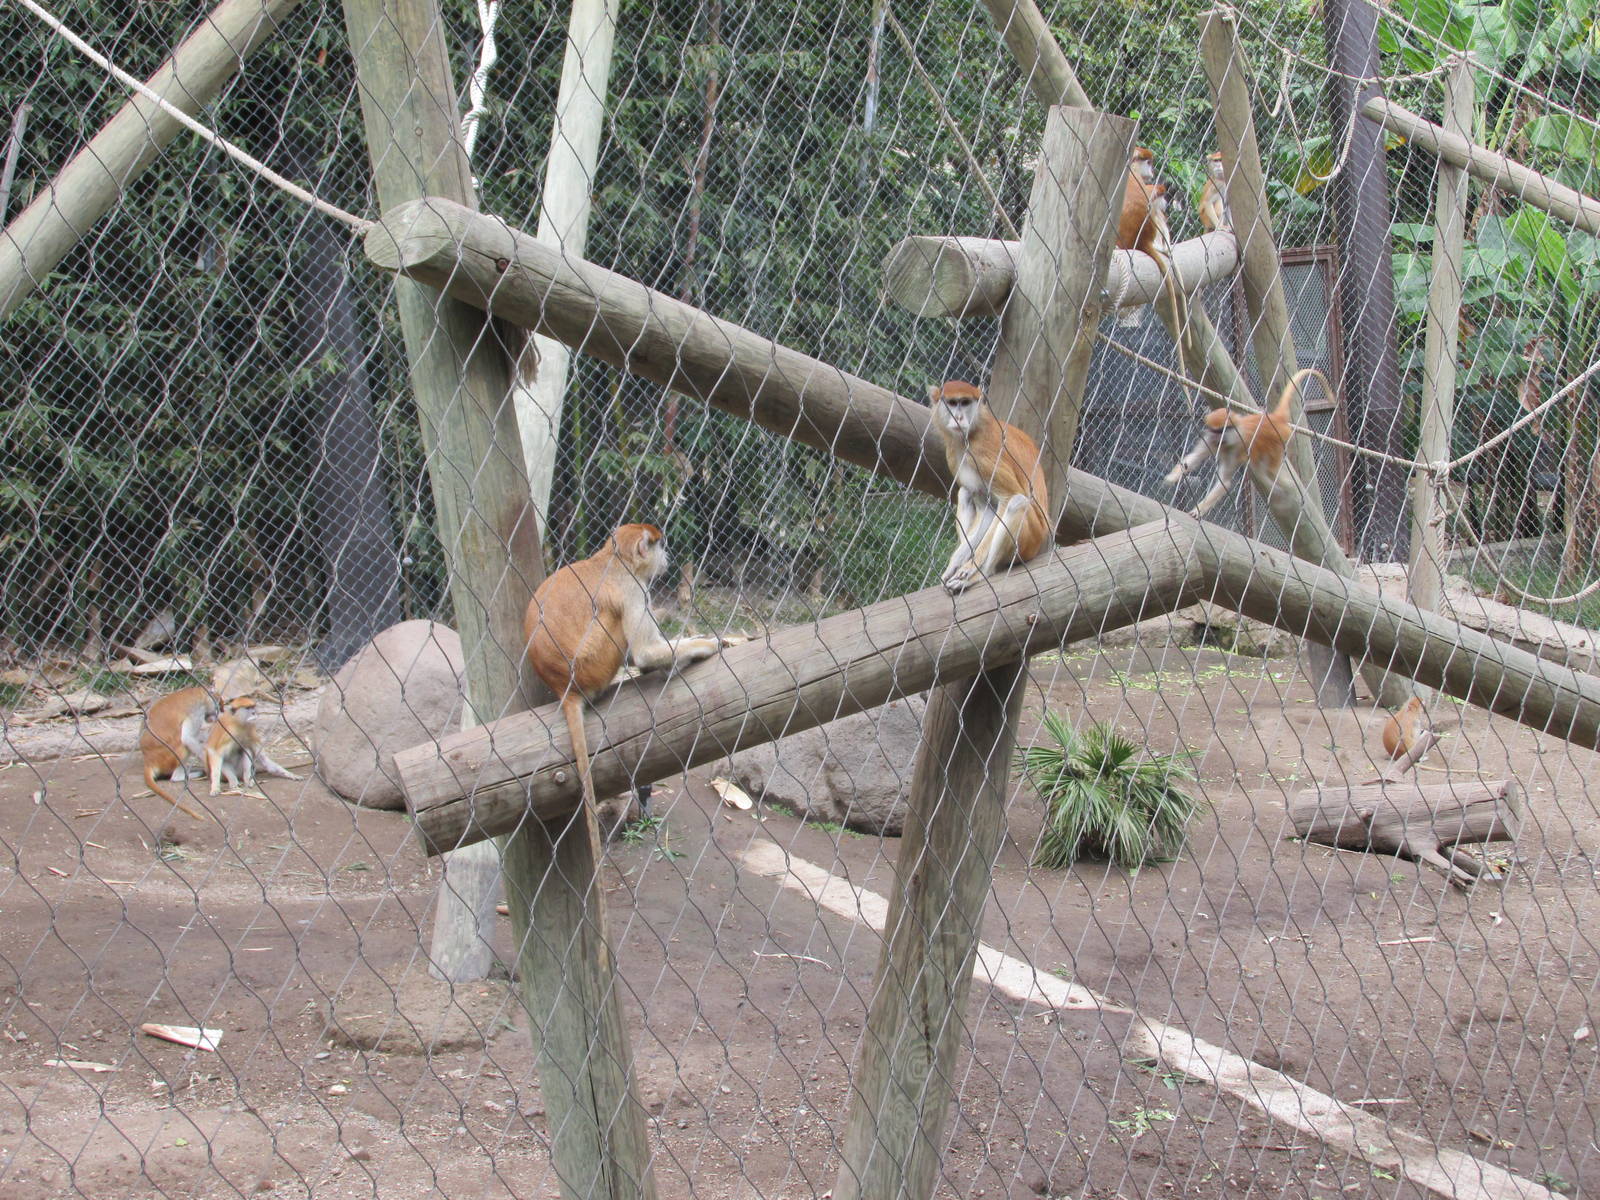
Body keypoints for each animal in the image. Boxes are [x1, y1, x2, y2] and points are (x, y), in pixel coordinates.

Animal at [139, 686, 215, 820]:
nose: (214, 716)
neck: (196, 691)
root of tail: (148, 759)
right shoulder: (197, 711)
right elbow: (187, 738)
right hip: (170, 755)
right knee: (183, 745)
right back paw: (180, 776)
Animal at [930, 381, 1051, 594]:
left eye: (965, 402)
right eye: (952, 403)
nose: (958, 417)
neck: (972, 431)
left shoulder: (982, 455)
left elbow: (1008, 499)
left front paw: (970, 568)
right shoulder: (953, 454)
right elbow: (987, 509)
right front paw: (954, 564)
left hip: (1032, 539)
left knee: (1017, 503)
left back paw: (983, 573)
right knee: (965, 493)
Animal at [1163, 366, 1331, 518]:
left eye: (1223, 430)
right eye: (1215, 431)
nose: (1218, 438)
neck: (1227, 442)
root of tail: (1274, 419)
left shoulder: (1235, 448)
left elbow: (1224, 482)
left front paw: (1198, 510)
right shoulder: (1209, 440)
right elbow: (1194, 459)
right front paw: (1172, 477)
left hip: (1279, 442)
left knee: (1267, 470)